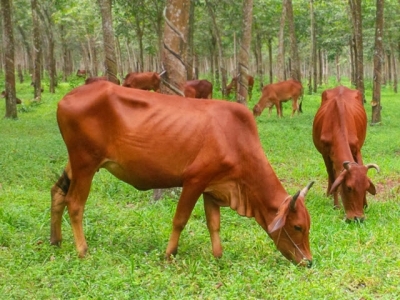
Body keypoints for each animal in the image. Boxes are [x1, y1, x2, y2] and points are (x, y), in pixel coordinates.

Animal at [50, 81, 316, 266]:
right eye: (298, 227)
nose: (308, 262)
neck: (236, 140)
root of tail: (67, 97)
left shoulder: (213, 188)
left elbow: (214, 224)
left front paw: (218, 256)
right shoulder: (194, 180)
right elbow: (180, 219)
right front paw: (169, 254)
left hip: (76, 162)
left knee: (57, 193)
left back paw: (56, 241)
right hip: (85, 163)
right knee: (75, 204)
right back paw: (82, 250)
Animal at [310, 85, 380, 221]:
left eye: (366, 187)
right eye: (348, 187)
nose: (358, 218)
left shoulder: (356, 149)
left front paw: (365, 204)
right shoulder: (325, 154)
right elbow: (333, 177)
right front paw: (336, 205)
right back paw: (329, 194)